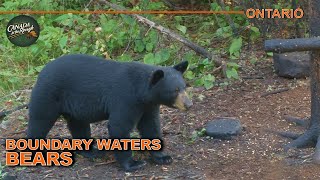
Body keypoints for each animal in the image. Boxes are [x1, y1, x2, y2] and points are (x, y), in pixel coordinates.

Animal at [27, 54, 192, 172]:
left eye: (185, 86)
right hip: (49, 94)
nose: (189, 104)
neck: (142, 91)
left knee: (79, 125)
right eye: (174, 90)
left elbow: (151, 126)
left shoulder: (148, 105)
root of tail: (42, 71)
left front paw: (163, 157)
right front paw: (133, 163)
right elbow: (119, 126)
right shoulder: (126, 98)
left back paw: (92, 152)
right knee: (40, 121)